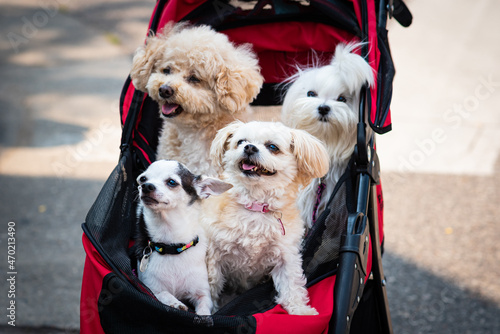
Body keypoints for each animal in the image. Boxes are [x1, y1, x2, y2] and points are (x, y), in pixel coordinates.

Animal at [135, 160, 232, 314]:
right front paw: (175, 303)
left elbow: (204, 310)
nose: (146, 186)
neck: (171, 246)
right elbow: (163, 294)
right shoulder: (150, 288)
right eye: (143, 179)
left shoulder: (203, 295)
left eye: (171, 182)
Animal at [202, 120, 328, 316]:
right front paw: (209, 311)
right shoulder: (214, 255)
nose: (249, 147)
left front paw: (300, 311)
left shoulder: (286, 257)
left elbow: (291, 285)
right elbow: (212, 286)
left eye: (272, 147)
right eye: (241, 142)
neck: (255, 206)